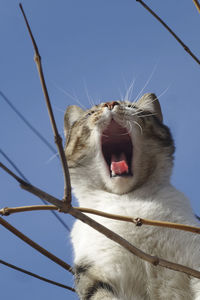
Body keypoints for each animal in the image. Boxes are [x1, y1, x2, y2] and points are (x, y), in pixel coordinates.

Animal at [64, 92, 200, 298]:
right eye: (90, 113)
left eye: (131, 107)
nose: (110, 103)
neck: (127, 200)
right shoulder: (95, 272)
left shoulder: (194, 253)